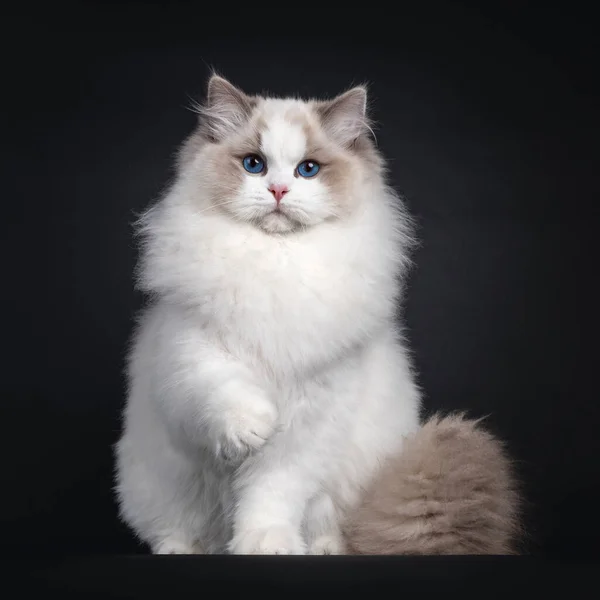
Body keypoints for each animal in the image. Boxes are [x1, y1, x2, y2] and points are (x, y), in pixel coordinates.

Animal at [113, 72, 422, 556]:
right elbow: (226, 391)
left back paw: (322, 548)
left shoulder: (314, 416)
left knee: (326, 524)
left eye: (308, 169)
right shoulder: (193, 356)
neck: (276, 262)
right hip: (159, 481)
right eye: (253, 165)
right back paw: (181, 548)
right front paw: (253, 430)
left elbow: (273, 492)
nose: (278, 191)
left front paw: (266, 544)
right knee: (176, 528)